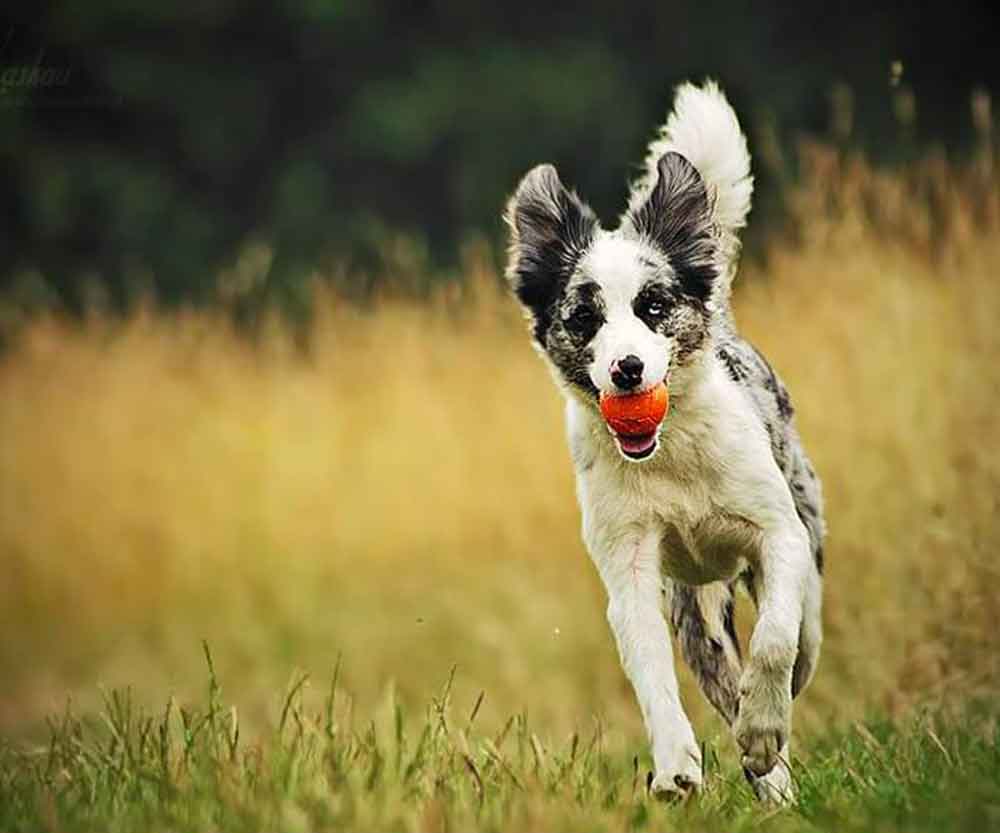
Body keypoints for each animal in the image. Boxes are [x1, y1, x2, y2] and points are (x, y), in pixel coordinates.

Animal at [504, 81, 824, 804]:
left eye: (654, 306)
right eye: (584, 318)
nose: (627, 369)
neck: (671, 451)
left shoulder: (776, 534)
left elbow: (773, 640)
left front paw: (765, 723)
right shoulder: (628, 567)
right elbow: (650, 671)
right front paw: (678, 766)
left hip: (806, 538)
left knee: (803, 636)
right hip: (696, 612)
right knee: (718, 673)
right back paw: (771, 782)